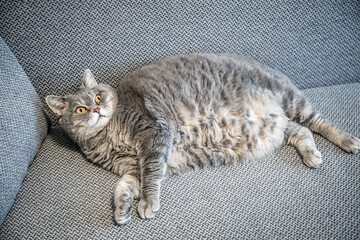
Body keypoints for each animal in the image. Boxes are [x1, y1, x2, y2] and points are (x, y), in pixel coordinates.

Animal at [45, 52, 360, 225]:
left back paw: (348, 141)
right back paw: (311, 155)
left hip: (291, 101)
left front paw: (147, 204)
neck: (107, 139)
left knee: (318, 122)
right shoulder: (133, 167)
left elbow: (149, 178)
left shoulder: (154, 137)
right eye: (80, 109)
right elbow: (123, 186)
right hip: (276, 127)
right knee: (301, 131)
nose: (97, 109)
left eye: (98, 97)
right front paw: (122, 210)